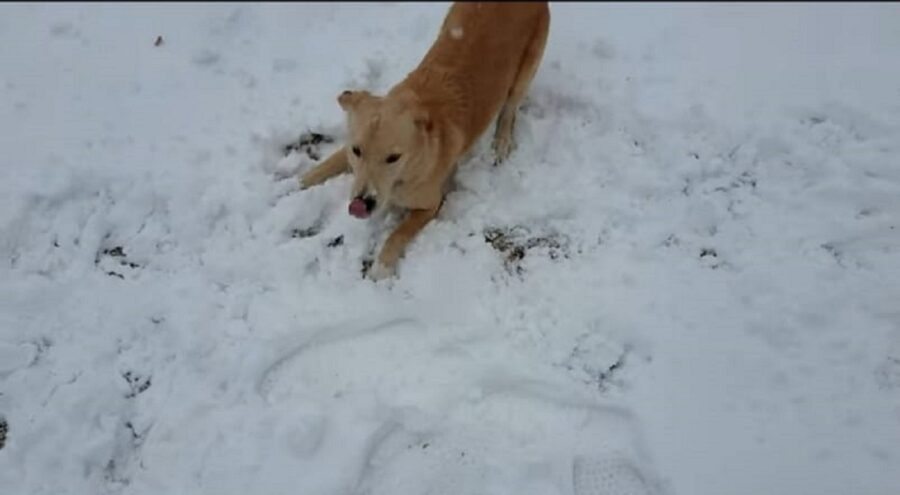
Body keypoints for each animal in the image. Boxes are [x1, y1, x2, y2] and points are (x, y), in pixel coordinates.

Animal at [298, 0, 548, 280]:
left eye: (393, 157)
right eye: (357, 150)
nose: (361, 204)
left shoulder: (430, 205)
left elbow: (397, 234)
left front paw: (381, 267)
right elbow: (323, 166)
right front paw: (293, 183)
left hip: (526, 69)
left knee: (510, 108)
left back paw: (501, 143)